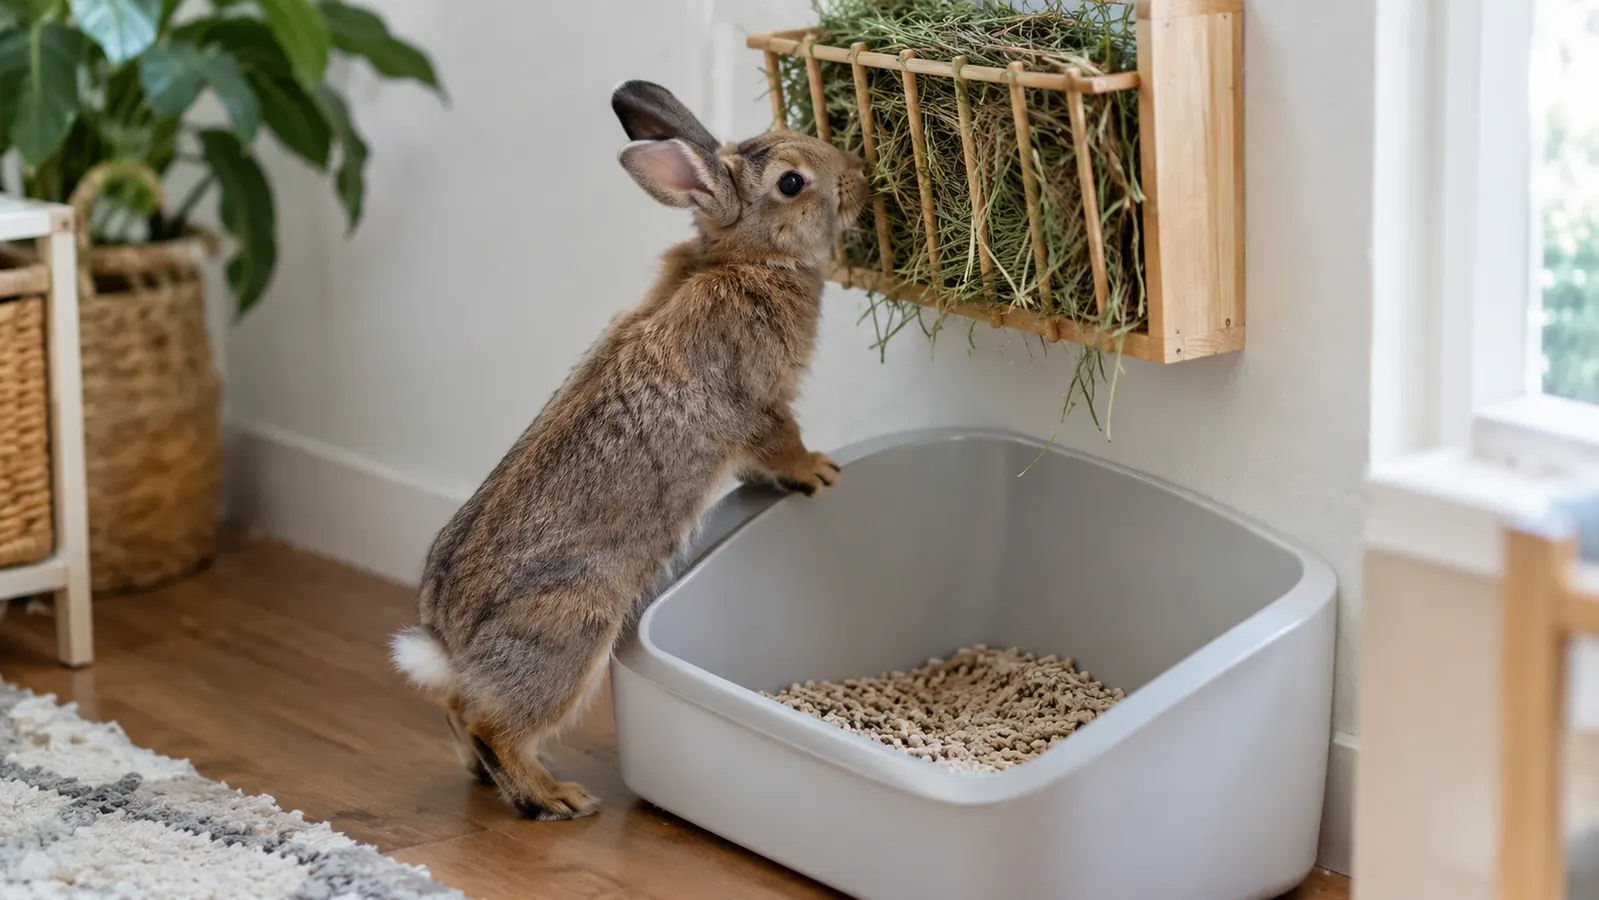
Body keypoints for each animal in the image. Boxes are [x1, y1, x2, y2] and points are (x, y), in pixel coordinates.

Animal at [389, 80, 869, 820]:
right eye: (792, 182)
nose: (859, 175)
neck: (746, 257)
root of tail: (446, 641)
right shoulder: (760, 405)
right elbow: (782, 444)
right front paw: (820, 472)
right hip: (571, 636)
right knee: (492, 723)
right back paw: (556, 798)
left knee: (458, 710)